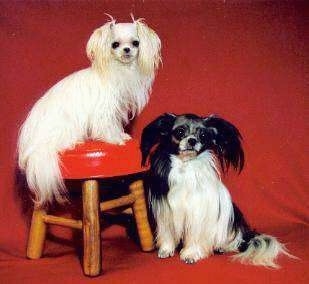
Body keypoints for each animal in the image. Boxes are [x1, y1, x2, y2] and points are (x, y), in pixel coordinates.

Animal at [18, 16, 161, 206]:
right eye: (115, 44)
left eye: (135, 43)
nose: (127, 50)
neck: (119, 70)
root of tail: (30, 147)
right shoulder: (105, 110)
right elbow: (107, 126)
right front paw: (115, 139)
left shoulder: (115, 110)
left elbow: (115, 124)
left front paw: (121, 135)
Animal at [141, 112, 290, 266]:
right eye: (180, 132)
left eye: (203, 136)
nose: (192, 140)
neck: (186, 167)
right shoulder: (166, 212)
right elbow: (167, 234)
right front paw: (166, 250)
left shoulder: (196, 214)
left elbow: (194, 237)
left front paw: (190, 254)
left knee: (234, 241)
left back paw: (222, 247)